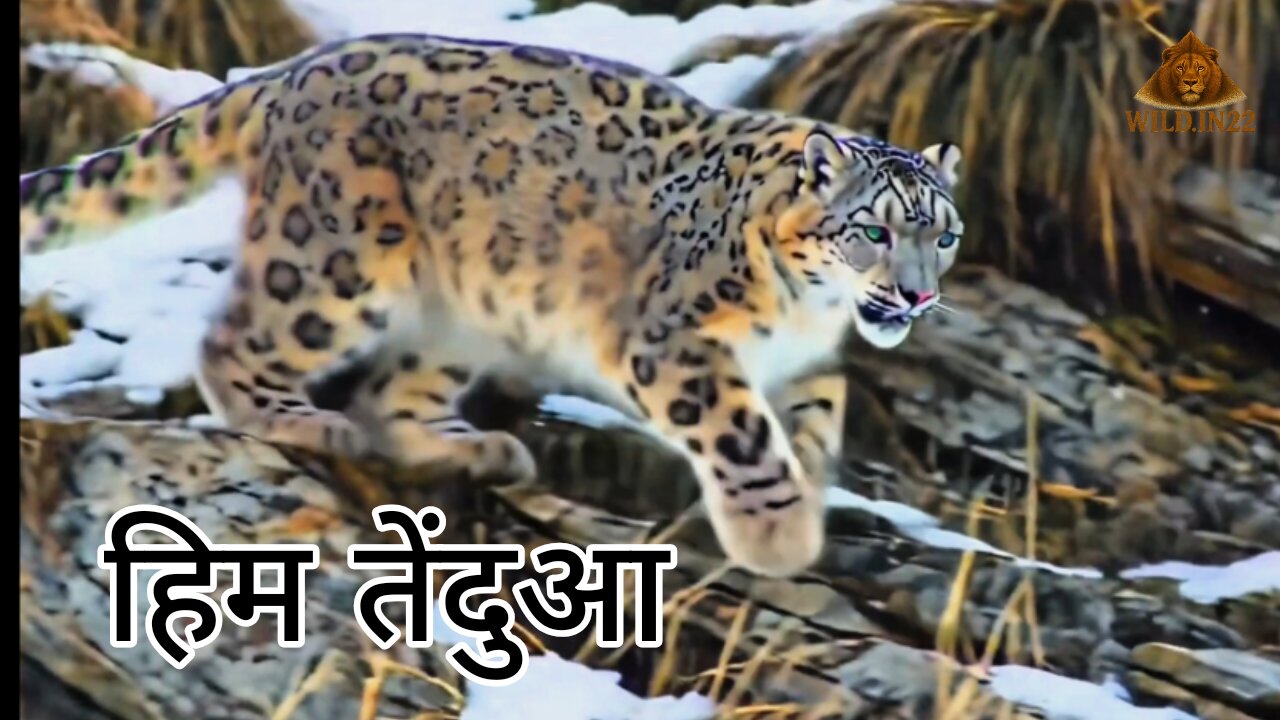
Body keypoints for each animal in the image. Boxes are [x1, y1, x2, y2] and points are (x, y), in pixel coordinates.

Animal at [19, 33, 964, 577]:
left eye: (945, 234)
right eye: (873, 231)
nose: (917, 292)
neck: (807, 312)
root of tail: (290, 72)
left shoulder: (807, 365)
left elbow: (811, 427)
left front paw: (802, 498)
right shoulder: (678, 343)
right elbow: (744, 435)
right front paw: (778, 537)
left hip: (461, 311)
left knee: (391, 395)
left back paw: (479, 449)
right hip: (338, 260)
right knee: (238, 340)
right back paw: (297, 420)